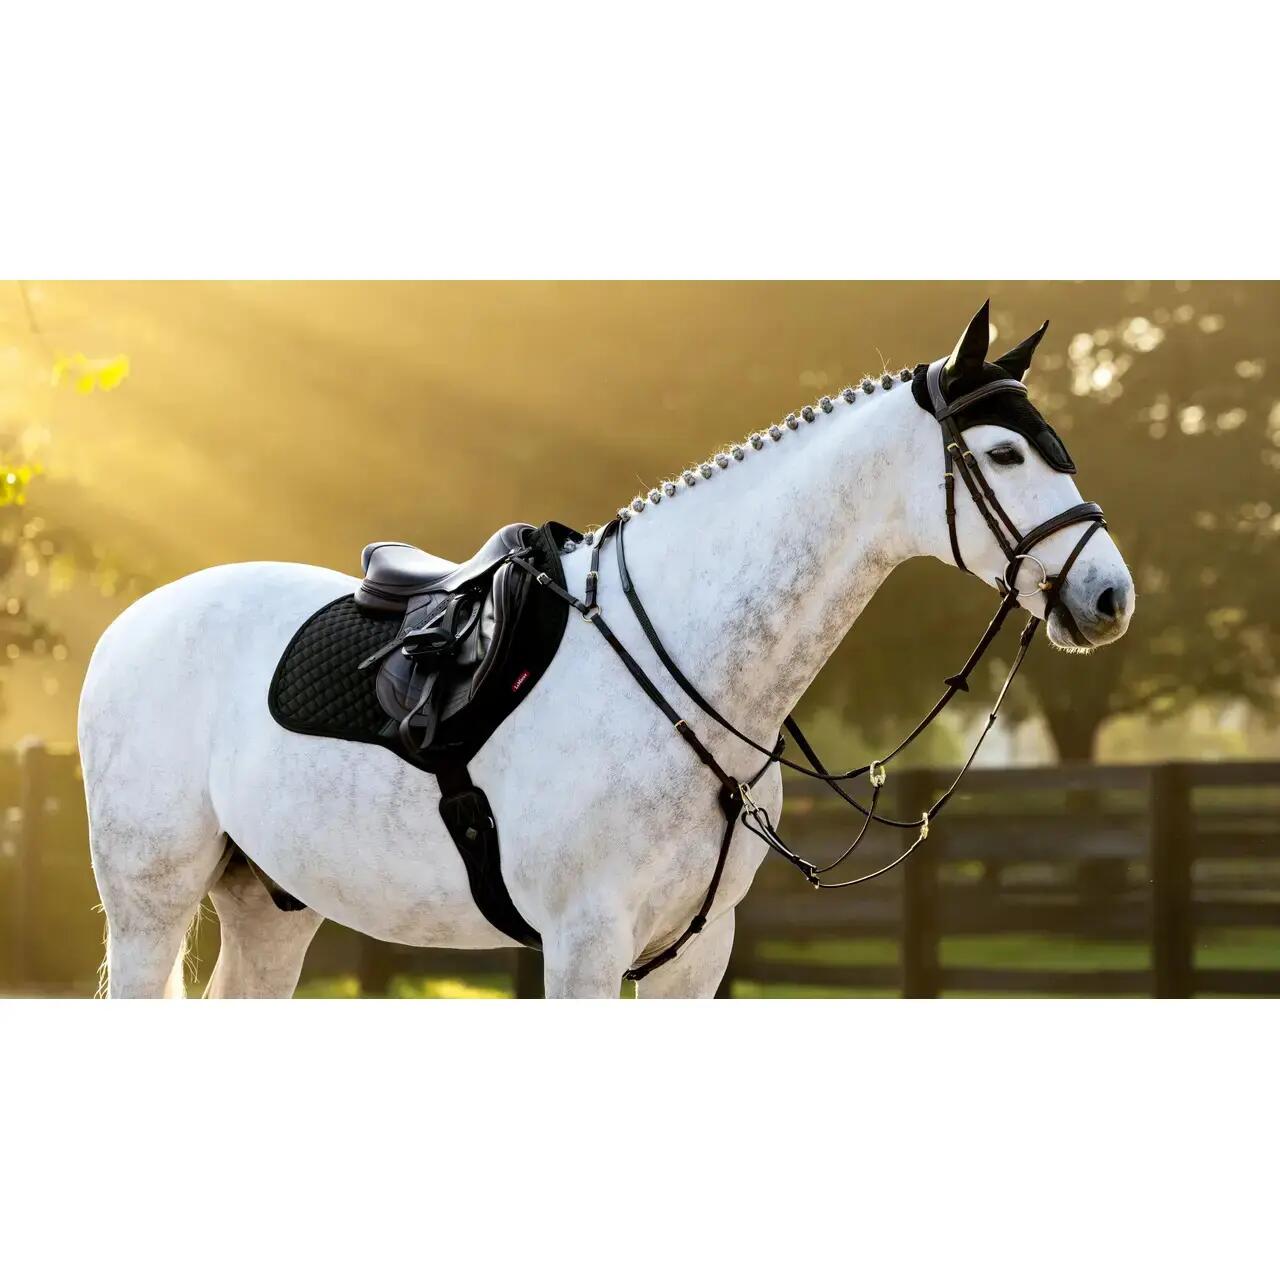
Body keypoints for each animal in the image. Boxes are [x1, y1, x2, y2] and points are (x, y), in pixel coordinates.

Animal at [78, 302, 1135, 998]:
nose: (1109, 596)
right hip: (150, 902)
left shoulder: (694, 956)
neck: (689, 675)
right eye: (1004, 454)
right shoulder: (582, 946)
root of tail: (132, 625)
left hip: (271, 904)